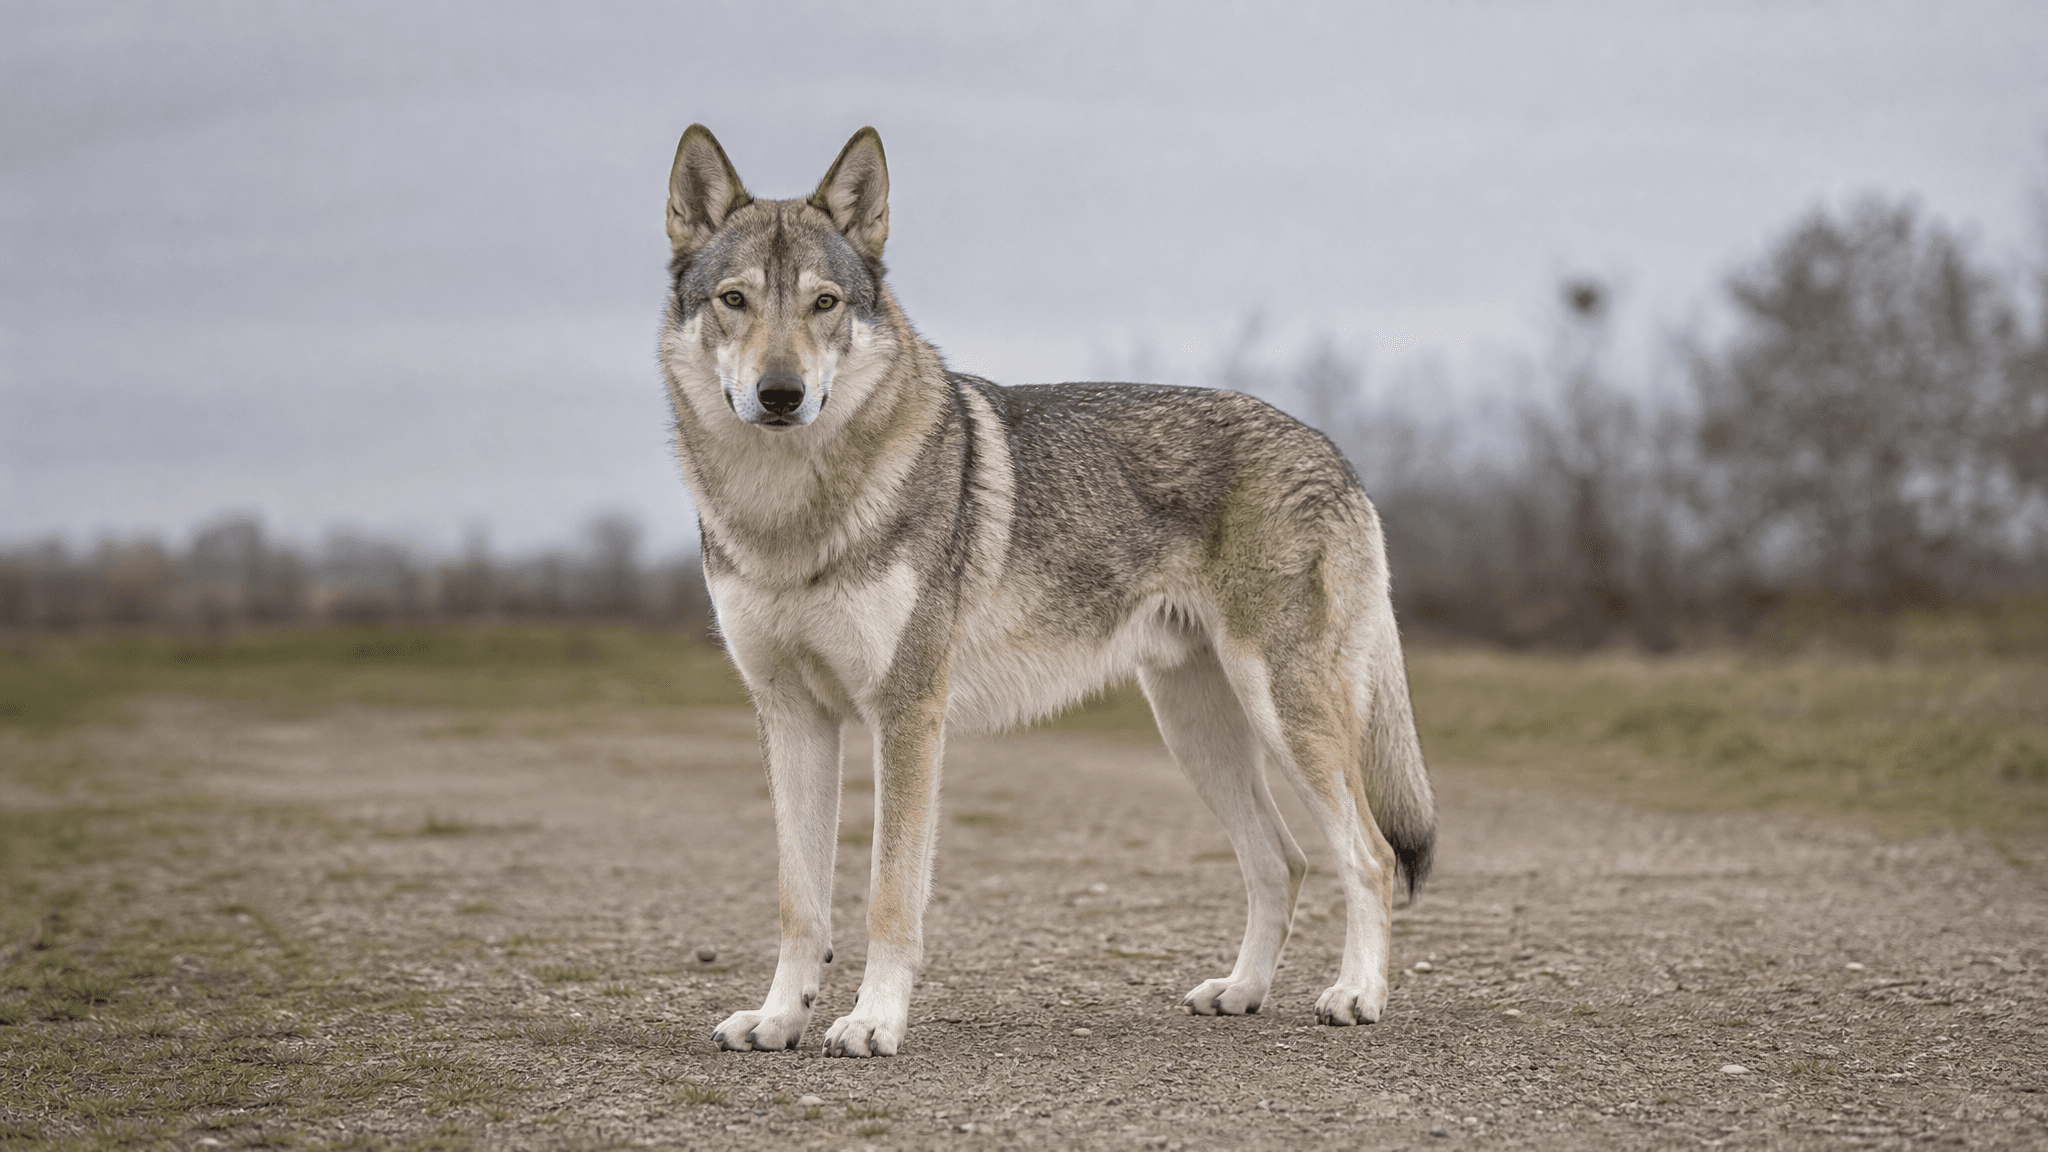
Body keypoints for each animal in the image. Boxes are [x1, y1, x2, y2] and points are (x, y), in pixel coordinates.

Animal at [658, 125, 1436, 1057]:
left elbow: (889, 897)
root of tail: (1336, 453)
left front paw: (873, 1021)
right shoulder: (790, 716)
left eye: (825, 304)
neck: (787, 512)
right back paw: (1242, 992)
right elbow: (798, 901)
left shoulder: (907, 714)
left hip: (1282, 712)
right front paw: (778, 1019)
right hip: (1197, 729)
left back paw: (1357, 994)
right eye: (735, 300)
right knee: (1279, 859)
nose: (781, 394)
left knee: (1369, 855)